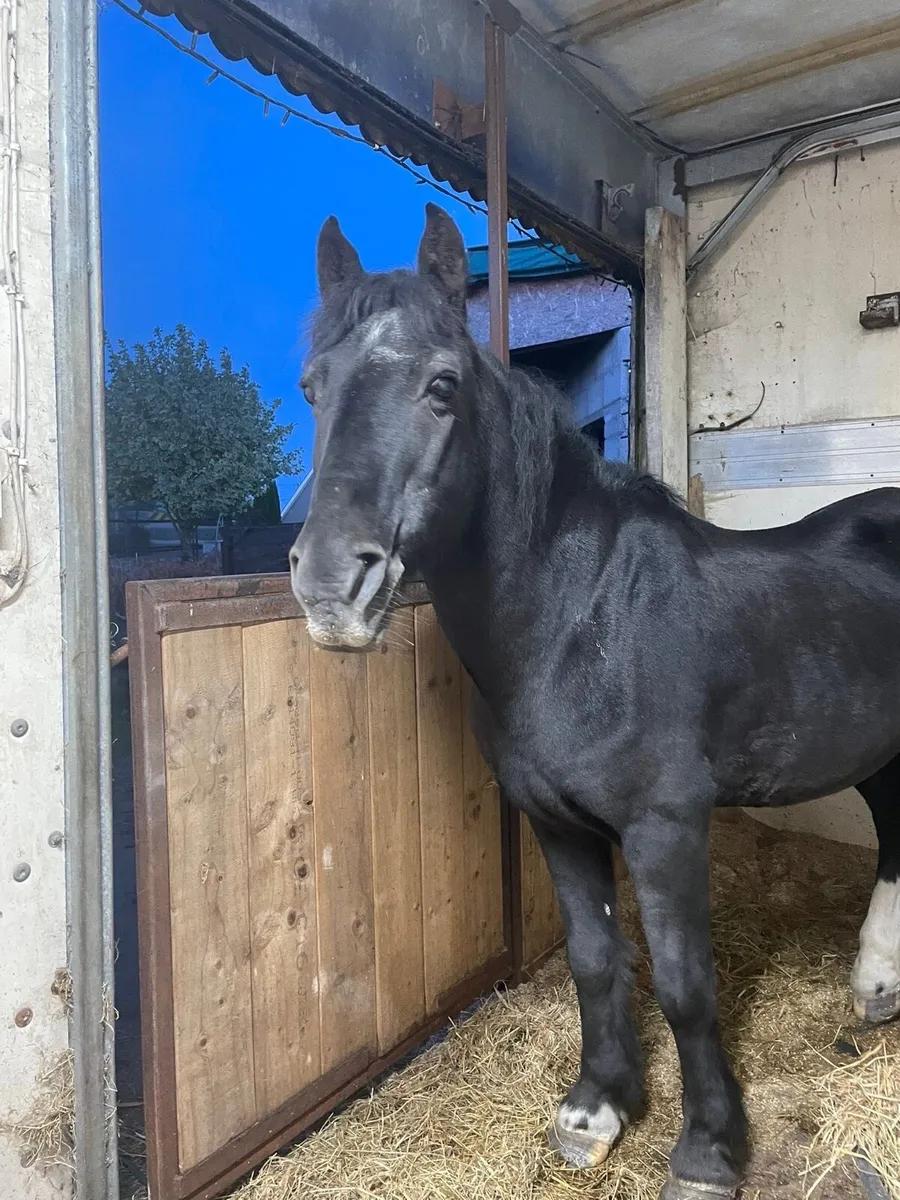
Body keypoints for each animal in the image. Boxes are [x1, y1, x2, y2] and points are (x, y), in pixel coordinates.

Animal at [289, 203, 900, 1200]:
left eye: (442, 386)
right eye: (312, 388)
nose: (332, 584)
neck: (576, 618)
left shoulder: (665, 826)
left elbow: (685, 983)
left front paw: (707, 1151)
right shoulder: (556, 824)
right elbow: (595, 960)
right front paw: (596, 1111)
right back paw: (877, 982)